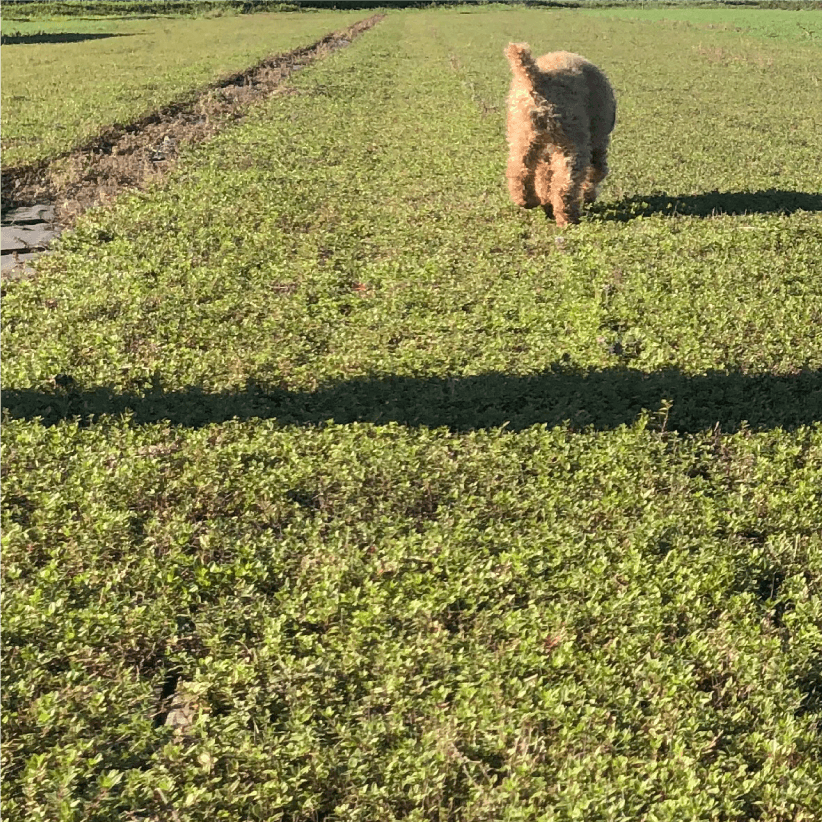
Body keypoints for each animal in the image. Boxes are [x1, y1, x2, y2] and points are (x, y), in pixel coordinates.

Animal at [506, 43, 616, 227]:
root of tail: (538, 80)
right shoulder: (598, 141)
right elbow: (597, 172)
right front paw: (588, 195)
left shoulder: (545, 152)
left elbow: (544, 177)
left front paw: (546, 202)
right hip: (571, 142)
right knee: (565, 184)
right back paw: (568, 218)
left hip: (523, 136)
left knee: (520, 171)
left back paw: (529, 201)